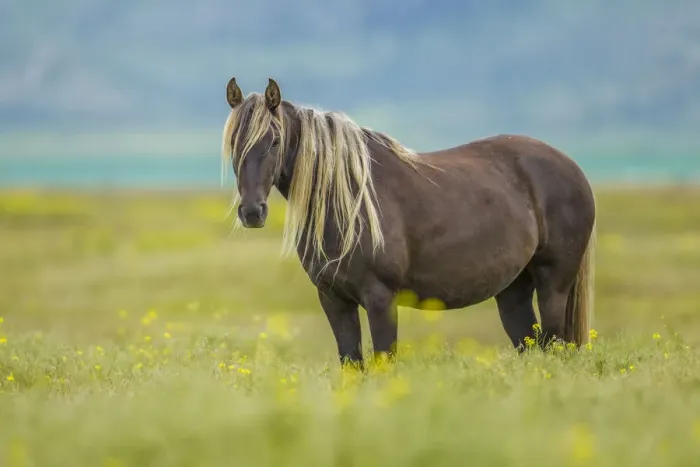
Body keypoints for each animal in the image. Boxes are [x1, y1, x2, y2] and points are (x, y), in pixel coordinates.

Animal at [221, 77, 596, 368]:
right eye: (233, 143)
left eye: (274, 141)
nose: (252, 212)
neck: (348, 202)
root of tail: (572, 167)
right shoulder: (334, 300)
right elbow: (351, 364)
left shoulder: (380, 299)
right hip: (513, 290)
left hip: (553, 283)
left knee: (555, 344)